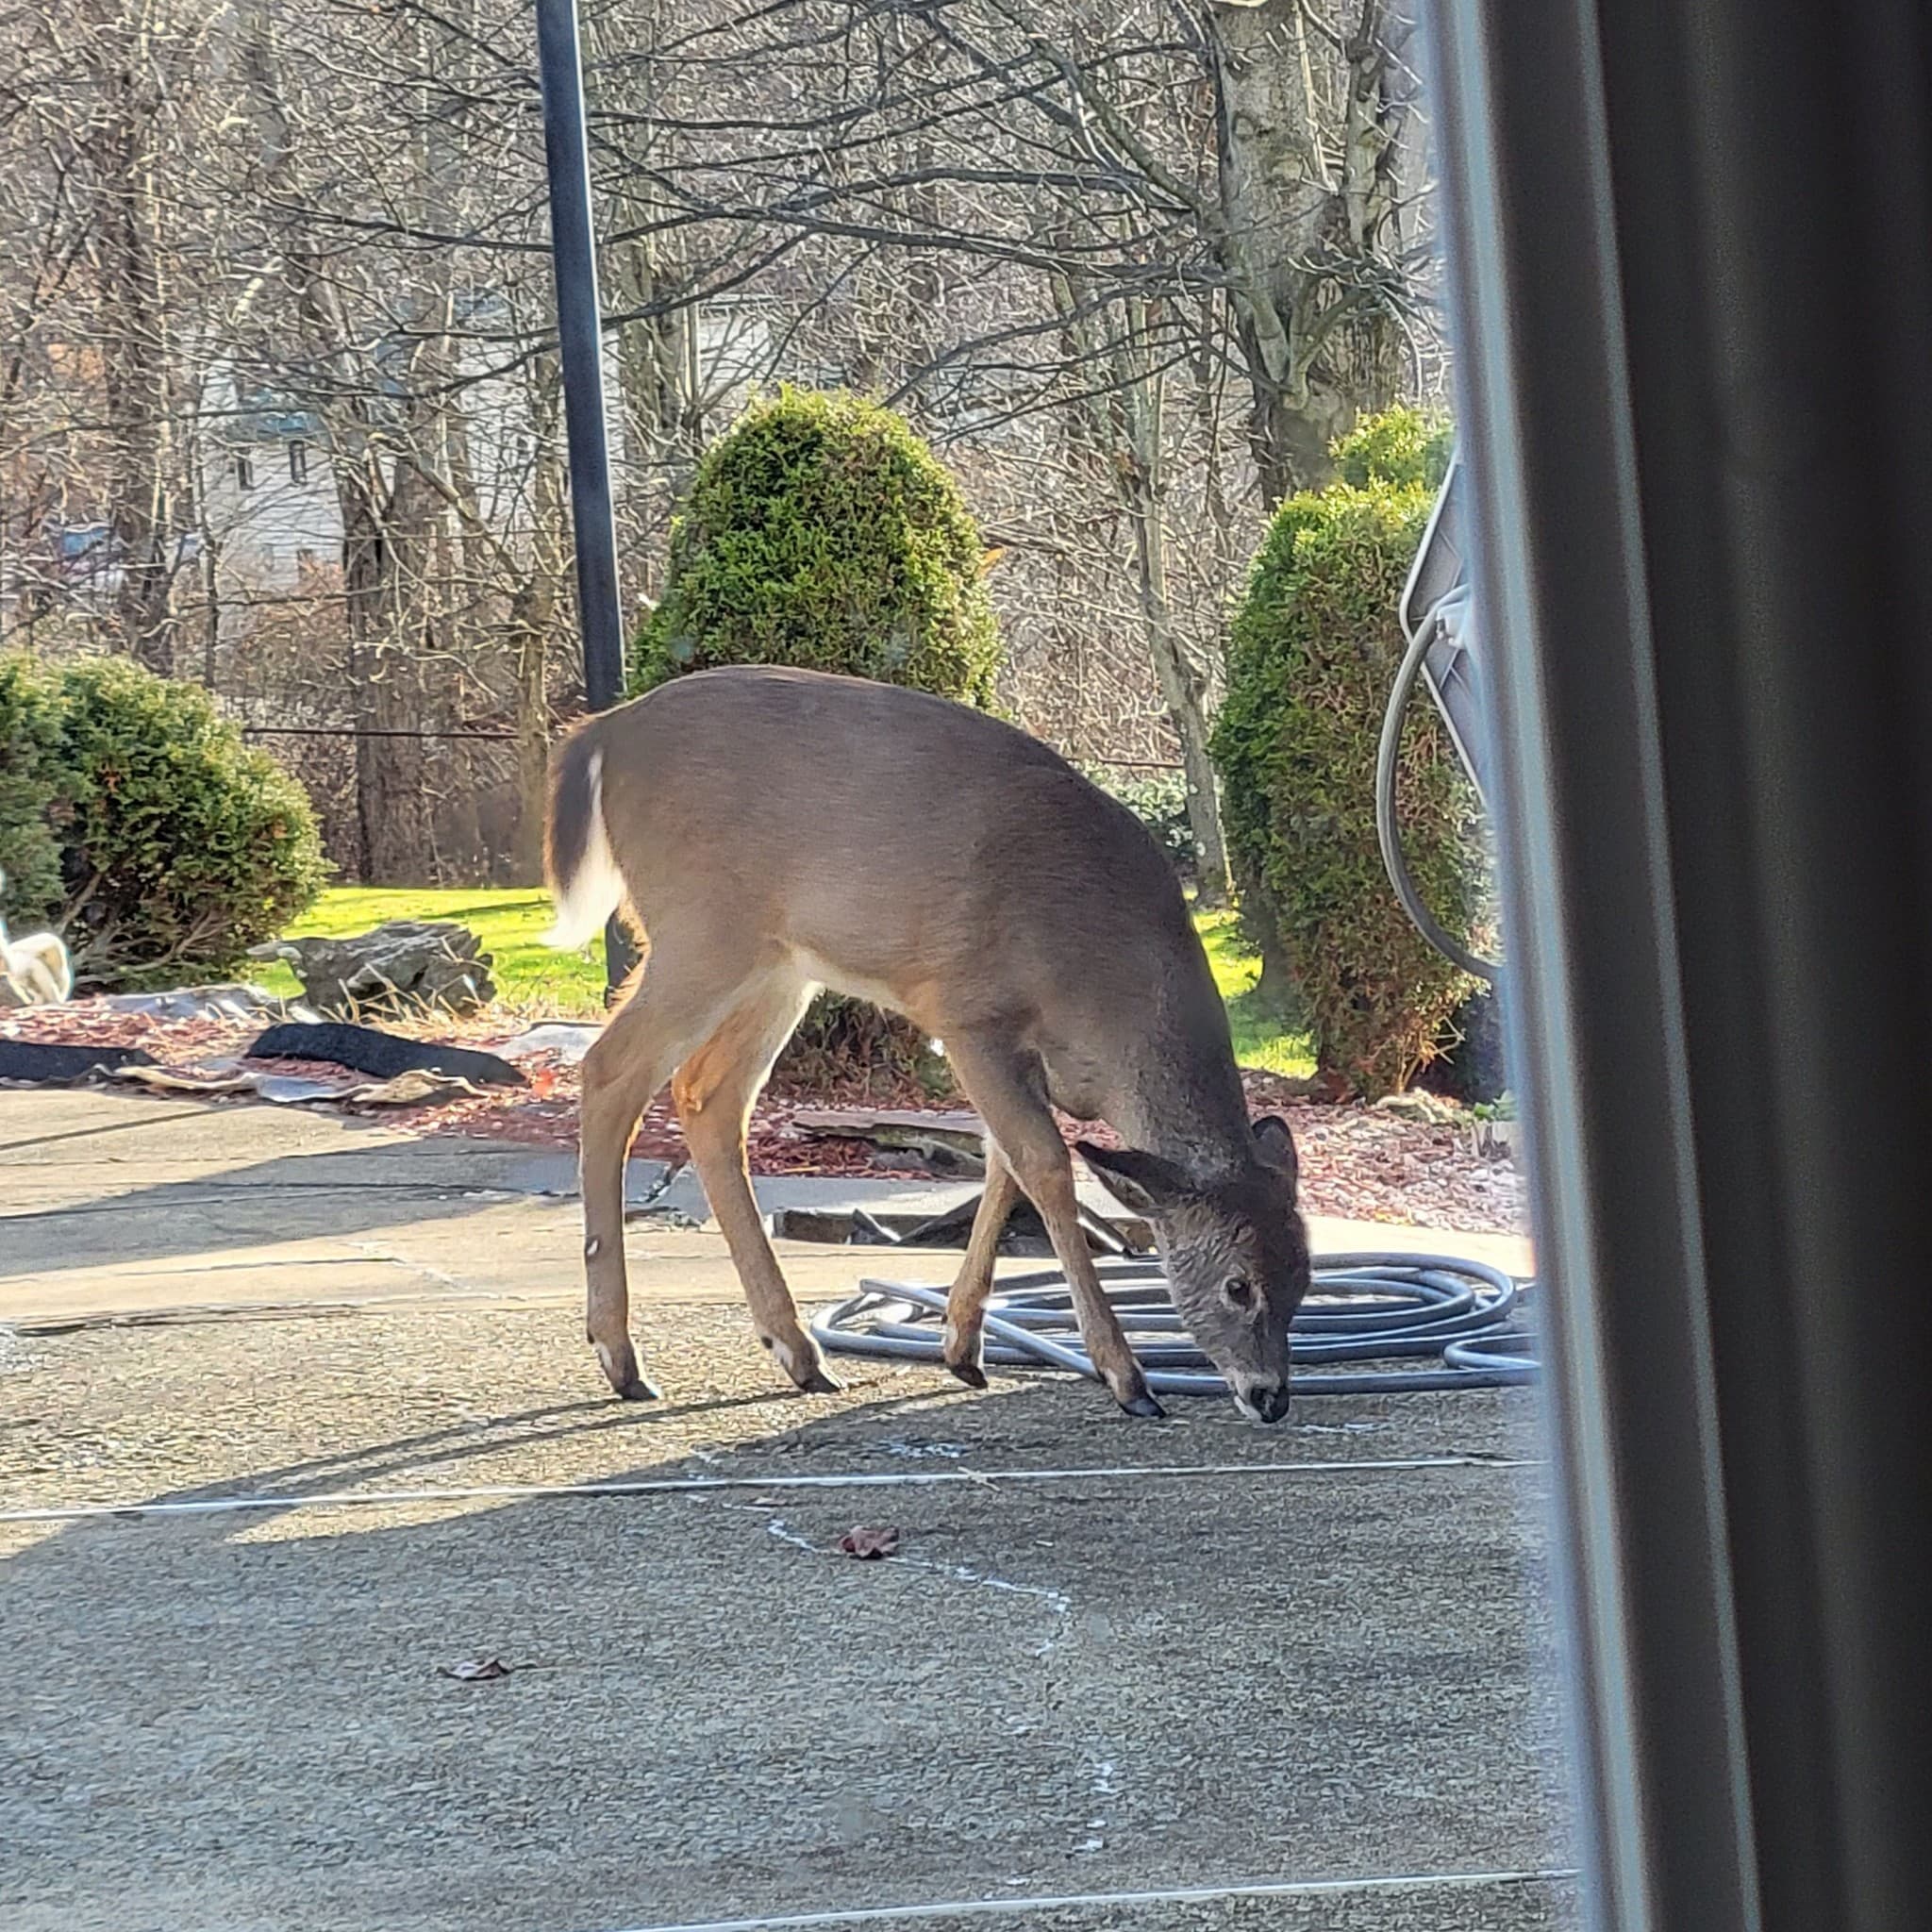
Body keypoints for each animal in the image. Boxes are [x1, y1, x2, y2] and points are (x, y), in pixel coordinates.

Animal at [543, 666, 1311, 1422]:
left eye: (1303, 1279)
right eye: (1238, 1285)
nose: (1270, 1397)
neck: (1105, 995)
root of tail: (603, 732)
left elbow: (1002, 1165)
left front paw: (962, 1345)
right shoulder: (970, 1014)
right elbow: (1044, 1164)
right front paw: (1127, 1377)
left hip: (777, 965)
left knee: (708, 1096)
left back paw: (797, 1352)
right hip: (701, 928)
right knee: (610, 1067)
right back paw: (621, 1357)